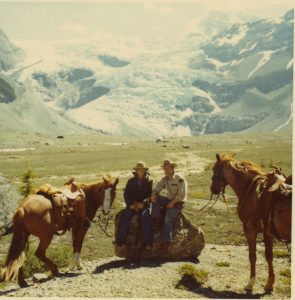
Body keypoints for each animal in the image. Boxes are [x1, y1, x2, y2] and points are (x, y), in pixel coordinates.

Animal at [210, 155, 292, 292]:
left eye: (214, 168)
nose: (212, 189)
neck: (250, 189)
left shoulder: (250, 230)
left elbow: (252, 256)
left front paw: (251, 283)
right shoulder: (268, 232)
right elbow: (269, 256)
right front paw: (270, 284)